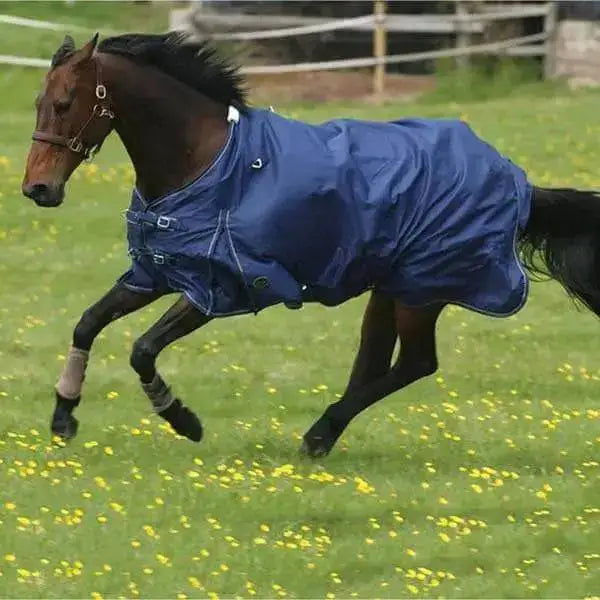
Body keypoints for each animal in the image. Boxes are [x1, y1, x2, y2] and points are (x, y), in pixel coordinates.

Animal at [21, 32, 600, 458]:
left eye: (65, 103)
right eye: (38, 102)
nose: (38, 189)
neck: (204, 161)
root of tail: (519, 184)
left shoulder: (219, 287)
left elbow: (142, 349)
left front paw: (183, 420)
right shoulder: (158, 271)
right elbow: (88, 323)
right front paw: (63, 417)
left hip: (423, 290)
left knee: (415, 363)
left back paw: (319, 432)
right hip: (390, 288)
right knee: (377, 362)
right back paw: (322, 437)